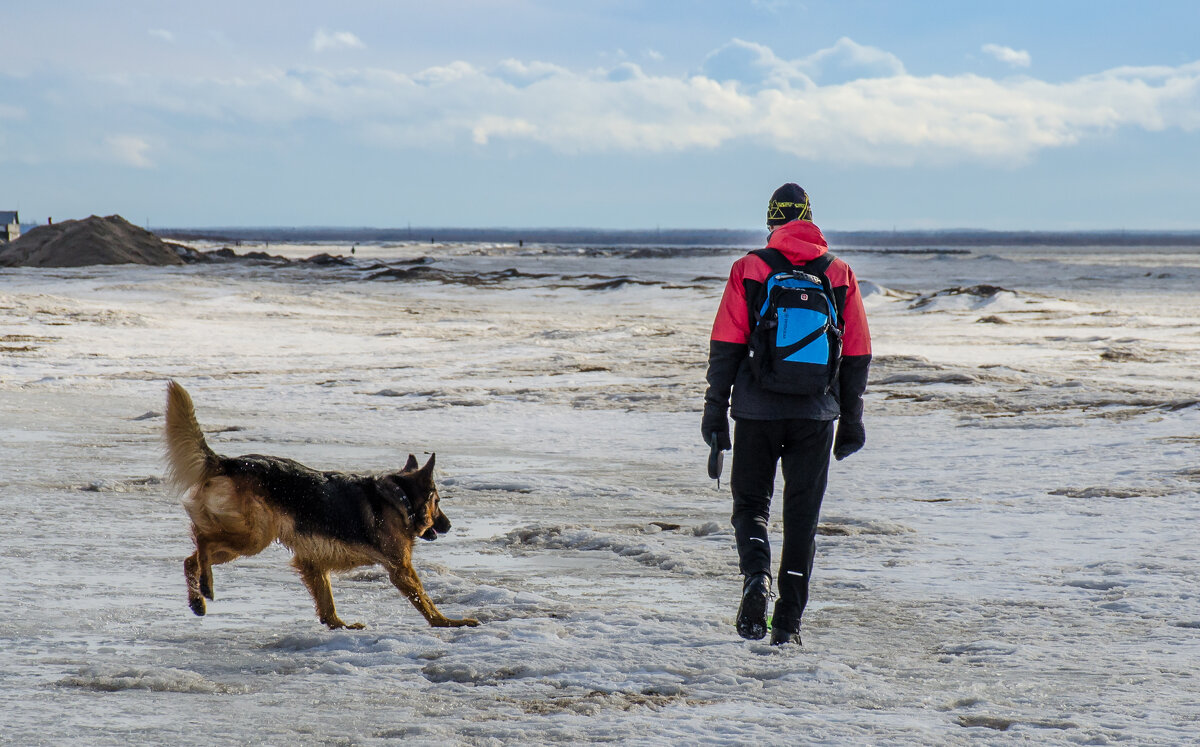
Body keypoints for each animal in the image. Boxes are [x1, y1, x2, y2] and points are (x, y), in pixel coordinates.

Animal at [163, 379, 477, 634]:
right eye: (438, 503)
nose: (449, 525)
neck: (400, 498)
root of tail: (229, 463)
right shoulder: (401, 570)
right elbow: (426, 602)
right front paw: (449, 623)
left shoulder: (313, 564)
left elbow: (327, 605)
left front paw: (340, 625)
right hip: (253, 537)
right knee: (203, 542)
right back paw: (207, 586)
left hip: (242, 539)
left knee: (190, 558)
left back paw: (197, 599)